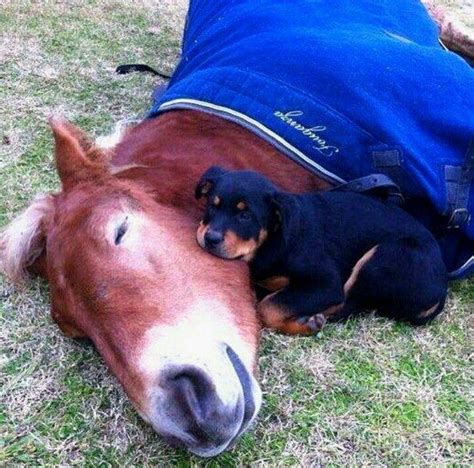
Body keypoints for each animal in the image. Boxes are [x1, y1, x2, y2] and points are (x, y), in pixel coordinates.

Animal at [195, 166, 448, 334]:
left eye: (245, 215)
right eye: (212, 205)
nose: (211, 238)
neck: (273, 239)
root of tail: (441, 289)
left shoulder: (325, 282)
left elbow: (268, 307)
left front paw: (304, 323)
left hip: (383, 257)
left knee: (345, 305)